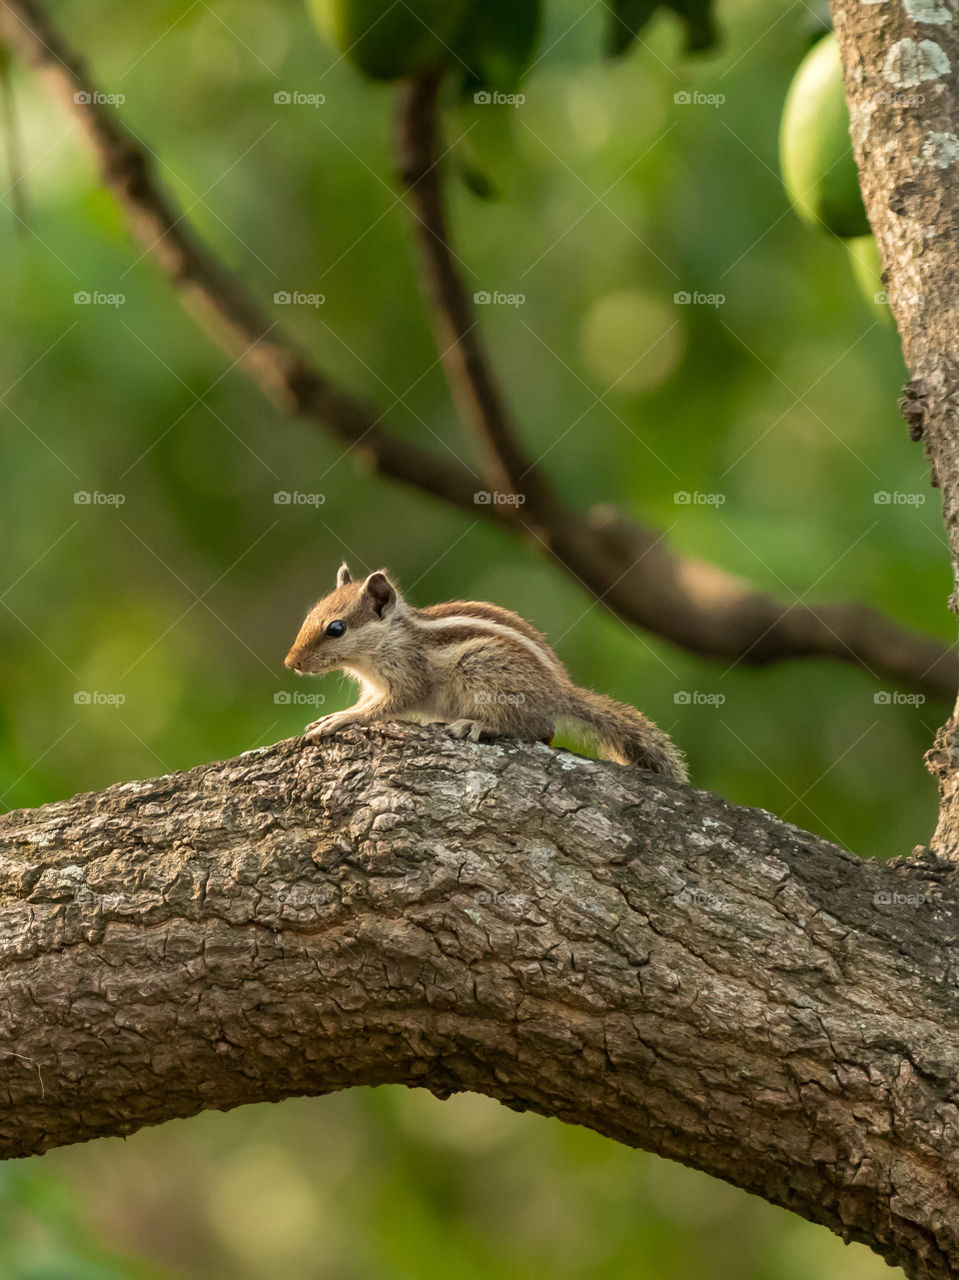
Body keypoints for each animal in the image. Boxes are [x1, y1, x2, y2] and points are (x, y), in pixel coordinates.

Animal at [284, 565, 686, 783]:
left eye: (336, 629)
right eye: (310, 614)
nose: (290, 663)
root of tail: (560, 692)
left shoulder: (408, 675)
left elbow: (388, 705)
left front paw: (340, 719)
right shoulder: (373, 686)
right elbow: (369, 702)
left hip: (482, 671)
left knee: (533, 726)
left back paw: (476, 725)